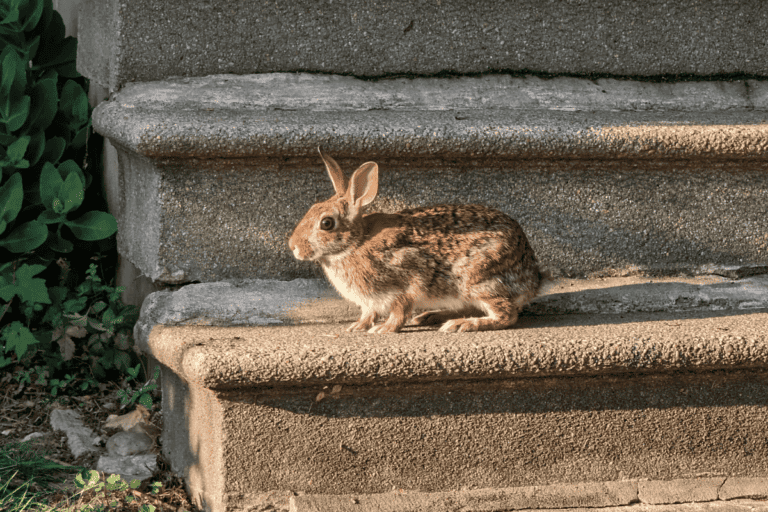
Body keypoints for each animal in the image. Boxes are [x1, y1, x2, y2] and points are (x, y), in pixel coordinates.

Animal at [288, 148, 545, 334]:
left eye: (326, 223)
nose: (293, 247)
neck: (355, 243)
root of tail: (533, 279)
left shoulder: (408, 277)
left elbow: (401, 309)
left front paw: (384, 329)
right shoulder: (370, 301)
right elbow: (368, 313)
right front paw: (357, 327)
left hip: (479, 279)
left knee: (506, 314)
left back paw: (462, 324)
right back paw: (432, 316)